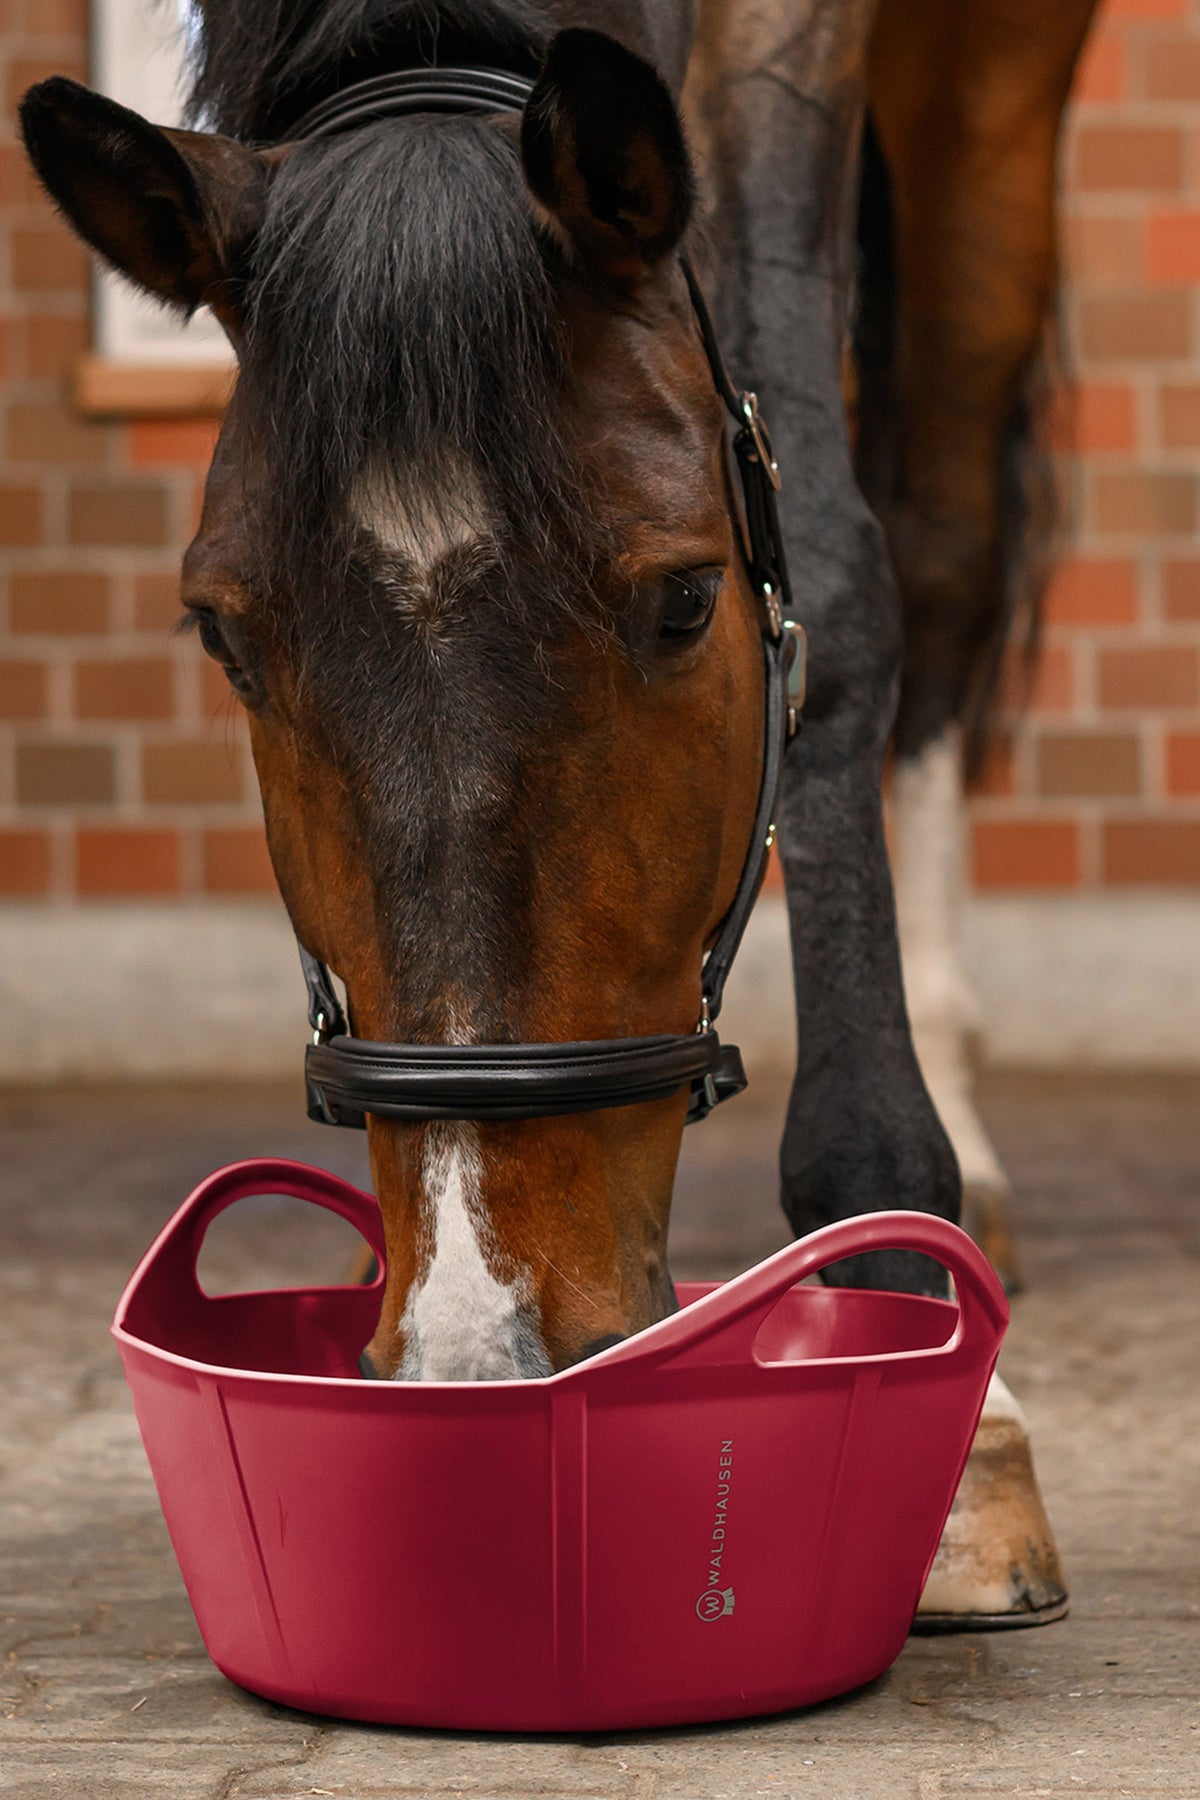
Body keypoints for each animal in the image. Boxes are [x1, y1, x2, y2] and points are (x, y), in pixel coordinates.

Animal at [19, 0, 1097, 1625]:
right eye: (221, 633)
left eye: (690, 599)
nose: (482, 1337)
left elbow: (839, 564)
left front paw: (920, 1329)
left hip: (998, 84)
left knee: (944, 539)